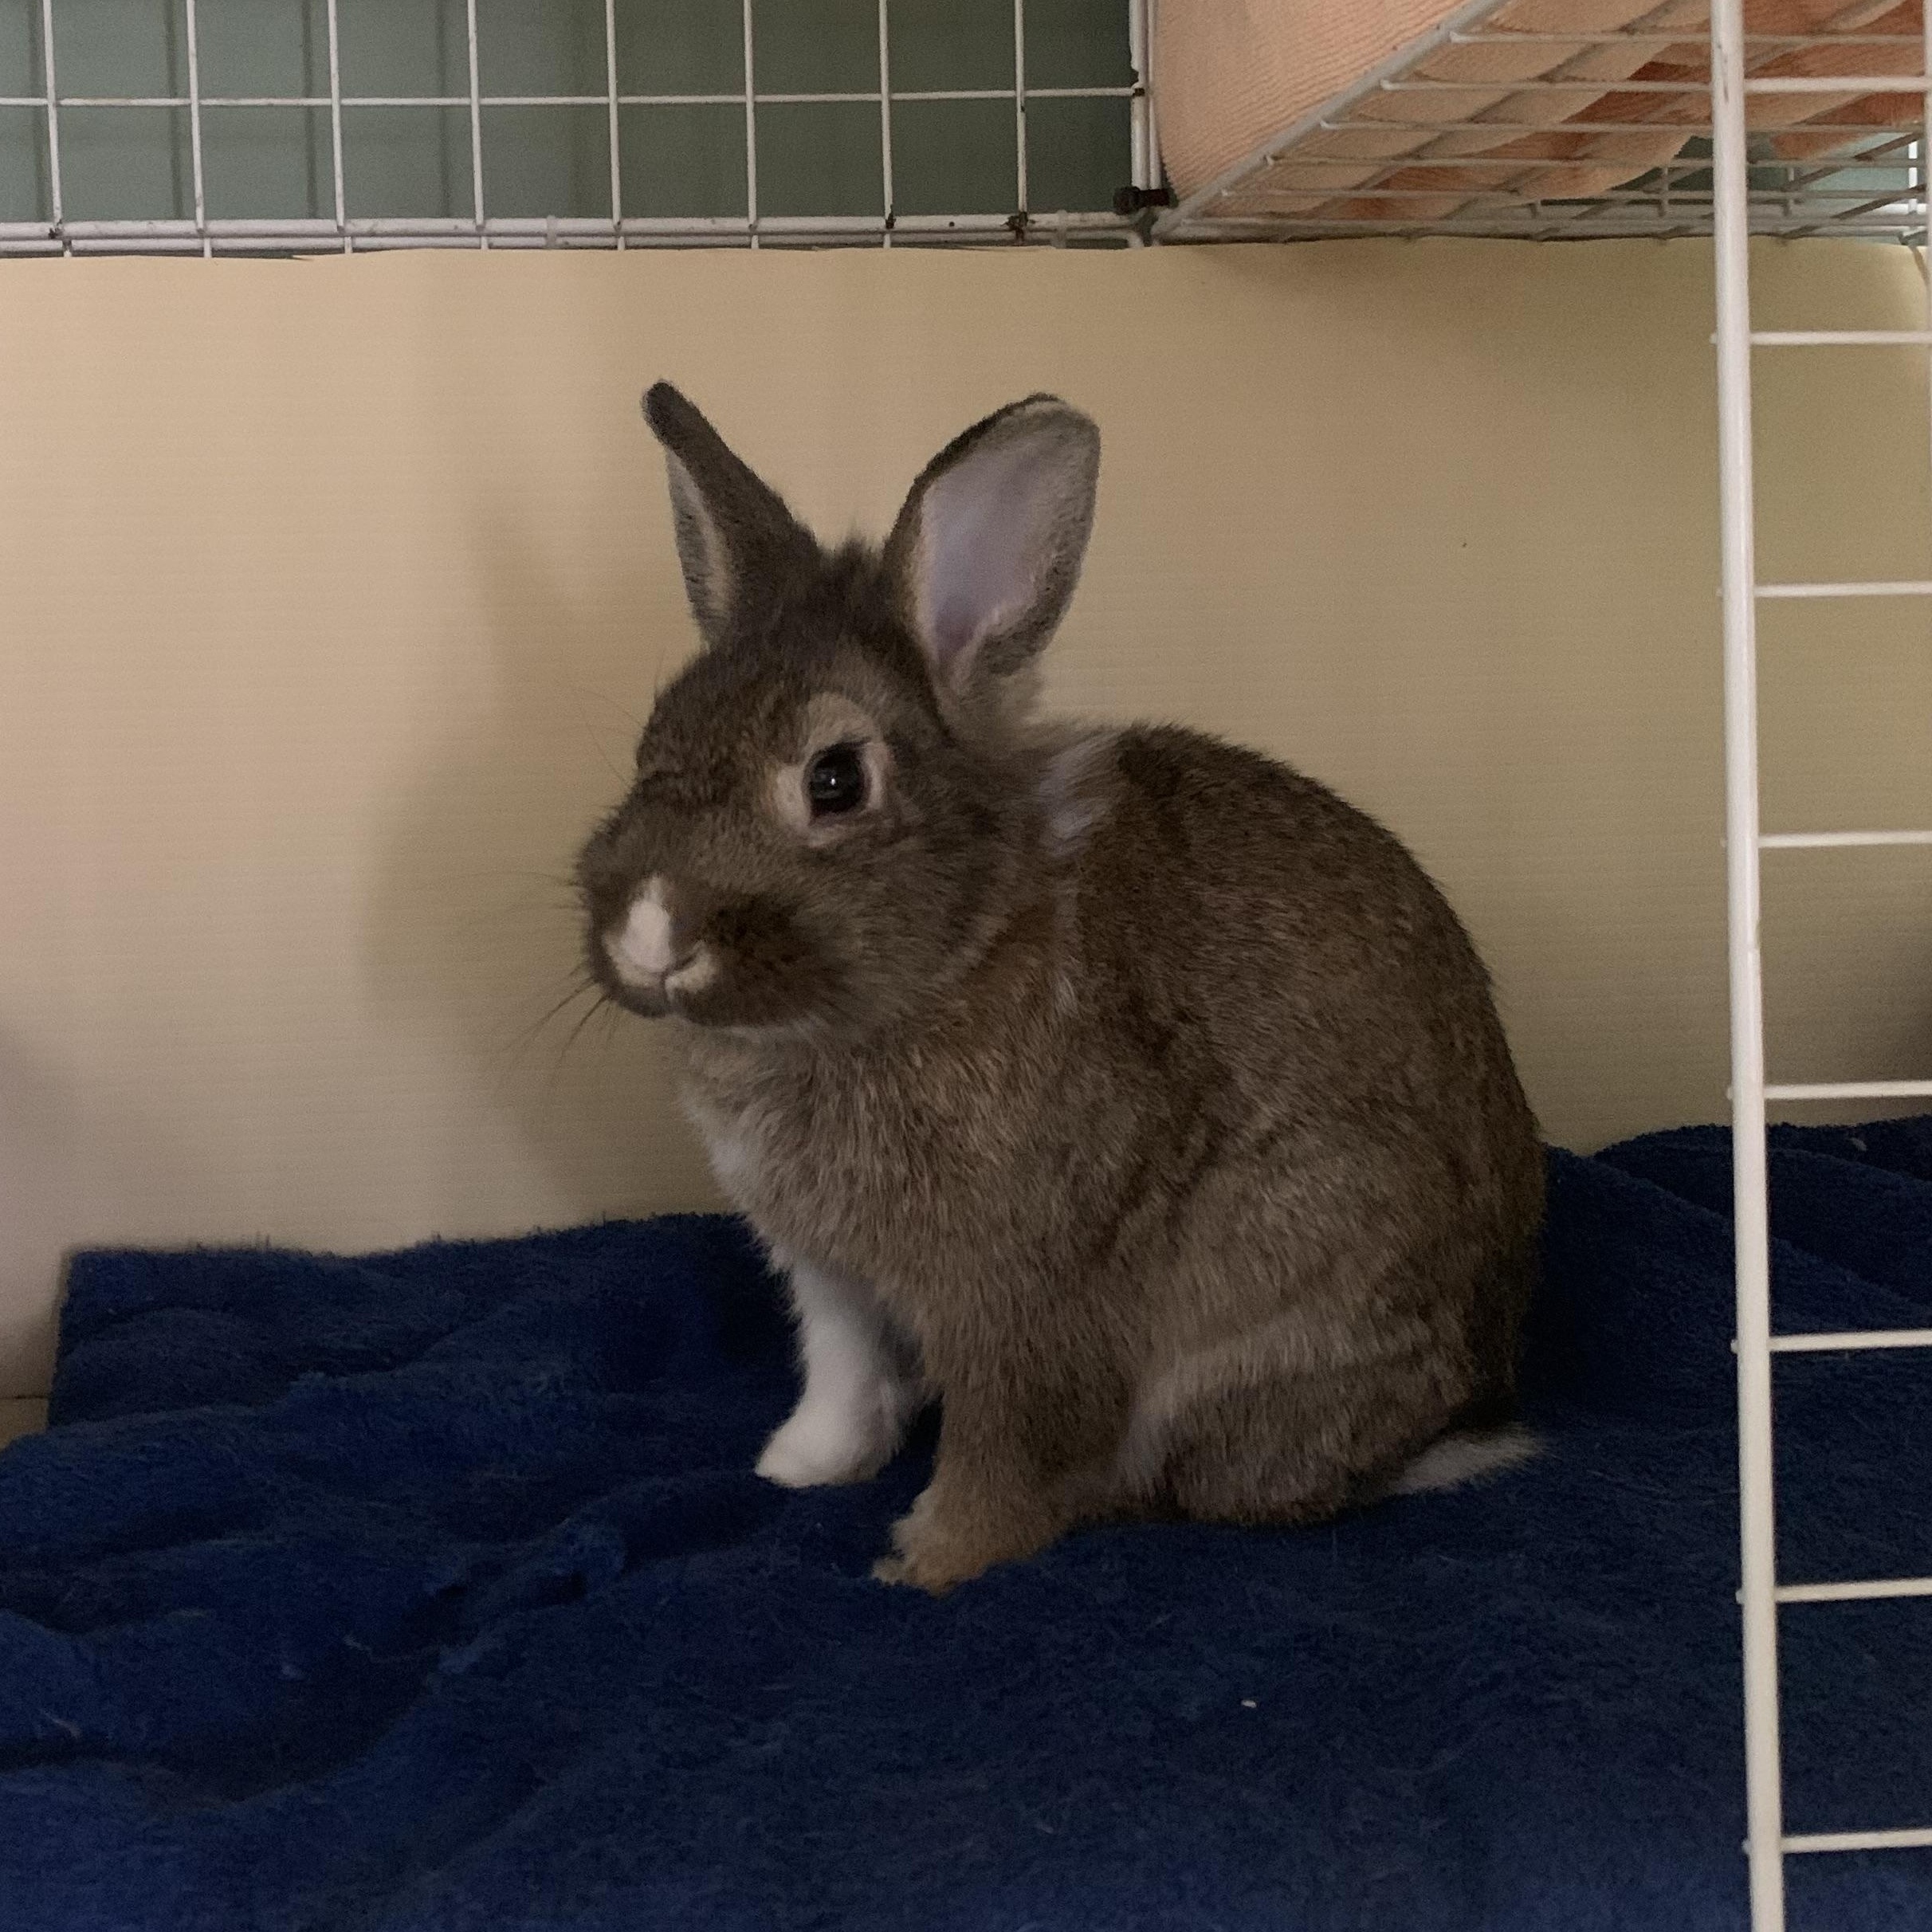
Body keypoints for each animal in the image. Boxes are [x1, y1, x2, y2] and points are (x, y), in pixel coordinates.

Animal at [575, 382, 1546, 1594]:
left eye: (835, 780)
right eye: (650, 742)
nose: (650, 928)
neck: (949, 959)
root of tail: (1472, 1402)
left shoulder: (1022, 1296)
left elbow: (1005, 1442)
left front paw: (930, 1562)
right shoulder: (830, 1277)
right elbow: (844, 1375)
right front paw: (803, 1468)